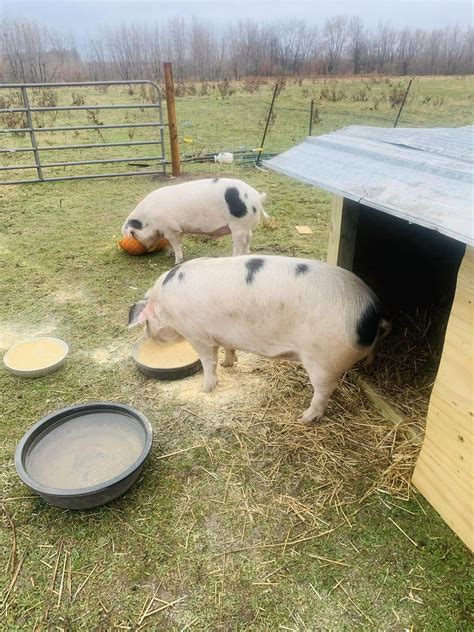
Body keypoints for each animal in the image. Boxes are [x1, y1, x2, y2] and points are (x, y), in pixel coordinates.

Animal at [121, 178, 270, 264]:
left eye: (133, 234)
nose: (146, 250)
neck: (149, 218)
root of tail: (256, 196)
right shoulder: (176, 229)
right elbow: (174, 242)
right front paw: (170, 254)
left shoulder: (169, 228)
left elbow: (175, 243)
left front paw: (177, 261)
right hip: (246, 224)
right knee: (249, 237)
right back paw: (247, 253)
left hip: (238, 225)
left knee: (240, 242)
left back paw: (233, 257)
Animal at [128, 254, 390, 422]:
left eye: (147, 323)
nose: (149, 337)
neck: (164, 304)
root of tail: (371, 313)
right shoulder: (222, 333)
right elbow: (227, 348)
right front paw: (229, 364)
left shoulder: (197, 334)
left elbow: (208, 362)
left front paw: (206, 389)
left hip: (322, 361)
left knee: (324, 390)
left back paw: (304, 418)